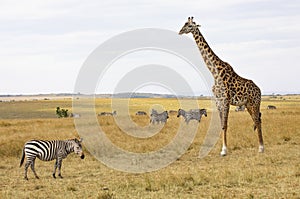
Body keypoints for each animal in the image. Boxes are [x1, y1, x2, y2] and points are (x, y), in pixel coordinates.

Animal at [179, 16, 264, 155]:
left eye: (189, 25)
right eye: (184, 24)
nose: (180, 31)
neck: (215, 72)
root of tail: (259, 90)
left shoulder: (225, 100)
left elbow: (225, 125)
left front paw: (224, 150)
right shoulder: (218, 101)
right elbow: (221, 125)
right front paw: (222, 149)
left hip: (254, 103)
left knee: (257, 120)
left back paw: (261, 148)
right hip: (247, 104)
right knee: (257, 120)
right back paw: (260, 146)